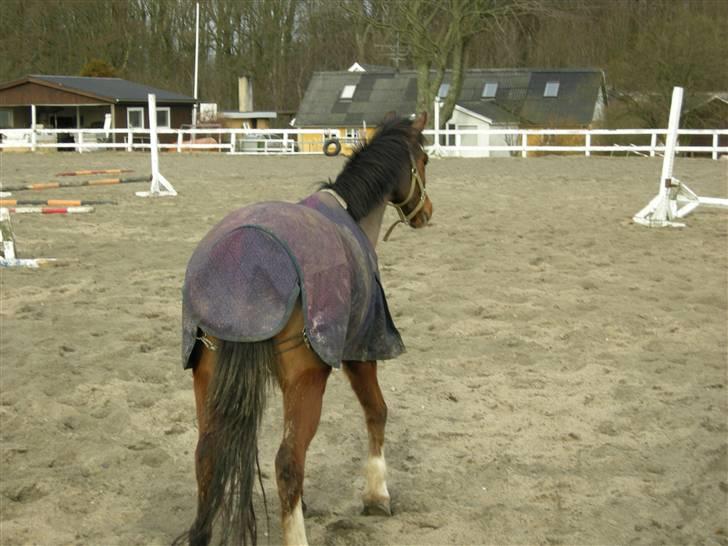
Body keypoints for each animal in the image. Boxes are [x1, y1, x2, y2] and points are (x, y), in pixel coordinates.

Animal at [175, 111, 432, 546]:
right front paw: (376, 494)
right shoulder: (359, 352)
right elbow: (377, 412)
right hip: (309, 380)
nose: (426, 212)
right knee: (287, 460)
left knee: (206, 454)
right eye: (425, 159)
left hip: (206, 378)